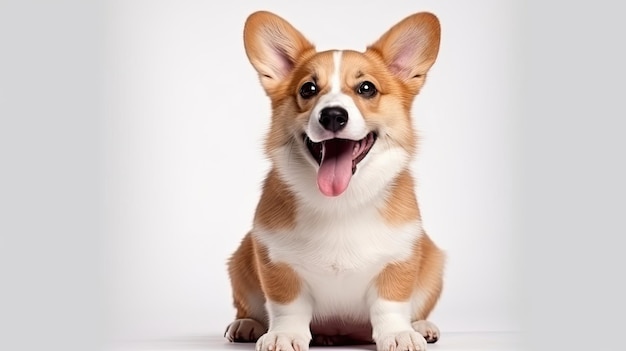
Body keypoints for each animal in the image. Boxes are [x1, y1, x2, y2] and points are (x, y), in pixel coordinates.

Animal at [224, 11, 444, 351]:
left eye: (366, 88)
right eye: (308, 89)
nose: (332, 116)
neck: (341, 202)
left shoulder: (400, 258)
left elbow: (390, 303)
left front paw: (399, 334)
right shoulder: (276, 260)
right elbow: (288, 305)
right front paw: (285, 335)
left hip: (433, 262)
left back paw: (421, 326)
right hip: (241, 260)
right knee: (249, 307)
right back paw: (247, 325)